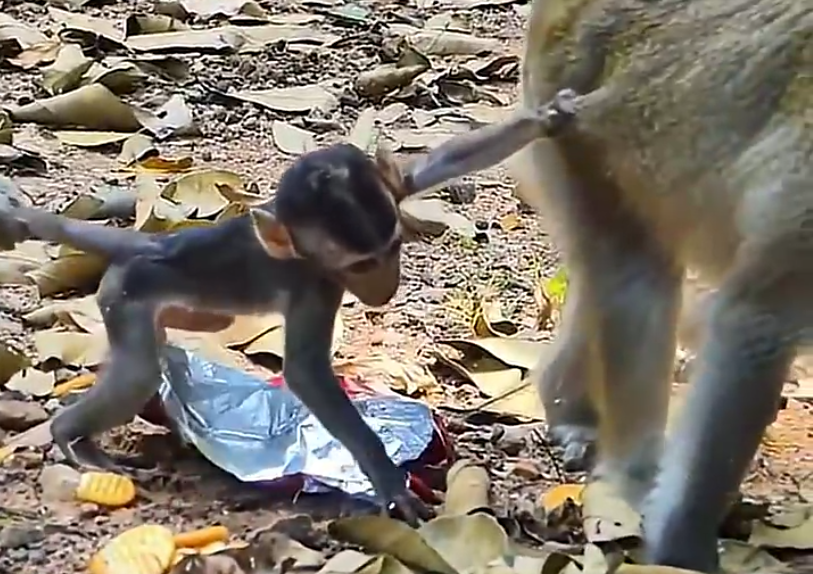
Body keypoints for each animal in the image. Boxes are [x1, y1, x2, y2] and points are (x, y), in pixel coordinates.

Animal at [4, 96, 578, 526]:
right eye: (363, 263)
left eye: (392, 247)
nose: (385, 286)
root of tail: (151, 246)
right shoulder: (313, 285)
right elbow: (305, 373)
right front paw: (388, 480)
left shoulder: (389, 189)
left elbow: (440, 163)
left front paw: (545, 117)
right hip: (125, 296)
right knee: (138, 369)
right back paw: (70, 436)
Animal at [509, 0, 811, 570]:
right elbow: (755, 323)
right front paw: (682, 547)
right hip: (578, 109)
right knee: (635, 274)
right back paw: (629, 485)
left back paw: (570, 407)